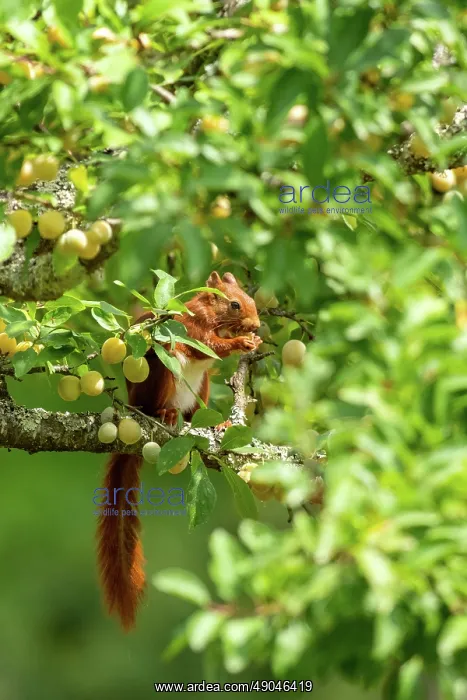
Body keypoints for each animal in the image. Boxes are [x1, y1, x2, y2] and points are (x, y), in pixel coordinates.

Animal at [97, 271, 261, 630]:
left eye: (251, 299)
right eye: (235, 304)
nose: (256, 324)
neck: (209, 314)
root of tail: (134, 405)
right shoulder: (191, 329)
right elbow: (210, 347)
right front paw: (241, 343)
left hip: (201, 388)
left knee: (197, 410)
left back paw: (217, 423)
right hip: (161, 376)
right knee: (159, 402)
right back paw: (165, 414)